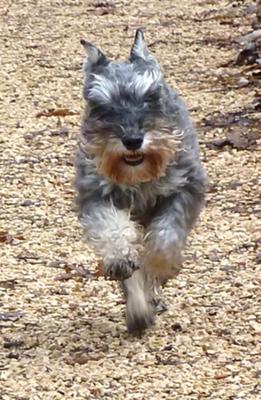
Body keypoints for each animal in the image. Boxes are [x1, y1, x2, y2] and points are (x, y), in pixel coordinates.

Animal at [74, 29, 206, 332]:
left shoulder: (185, 189)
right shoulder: (97, 196)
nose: (133, 140)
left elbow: (165, 238)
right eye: (102, 105)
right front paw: (120, 258)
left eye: (150, 97)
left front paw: (158, 265)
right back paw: (138, 310)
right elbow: (112, 229)